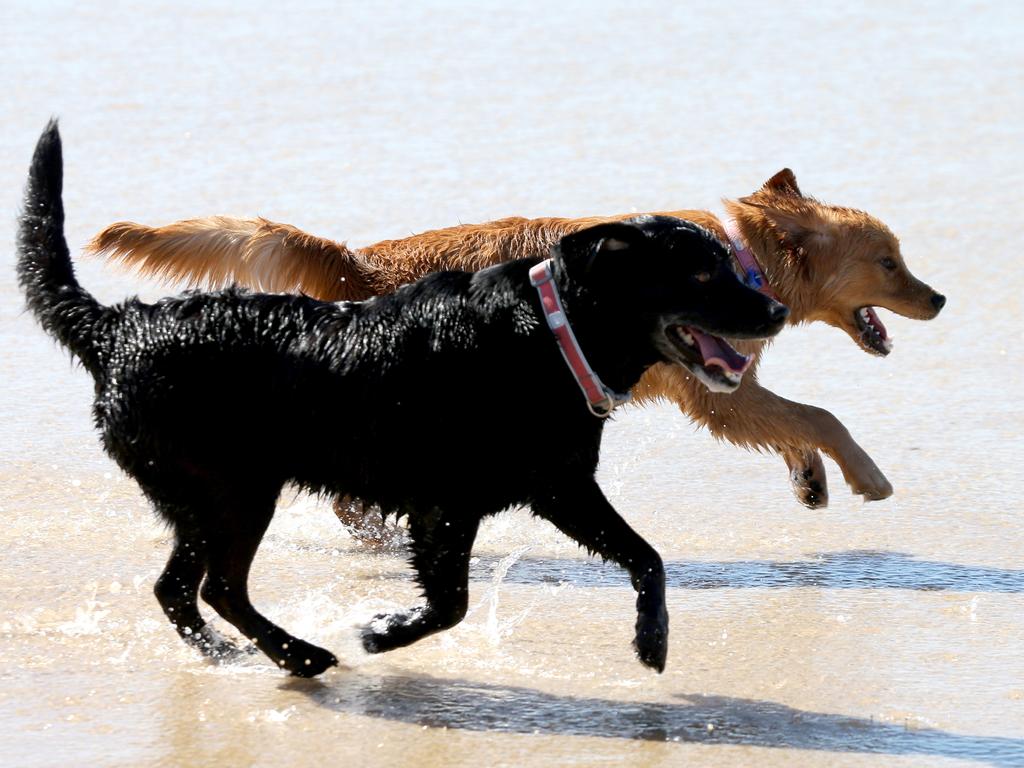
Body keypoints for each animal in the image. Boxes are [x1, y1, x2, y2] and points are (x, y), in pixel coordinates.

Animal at [16, 124, 786, 679]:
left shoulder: (558, 486)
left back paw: (240, 656)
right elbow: (450, 603)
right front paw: (384, 633)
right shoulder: (446, 504)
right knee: (217, 587)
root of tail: (115, 327)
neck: (548, 333)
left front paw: (652, 639)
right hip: (233, 489)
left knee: (180, 589)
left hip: (205, 496)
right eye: (700, 274)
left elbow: (646, 556)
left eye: (727, 266)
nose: (777, 310)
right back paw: (301, 654)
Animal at [86, 169, 942, 518]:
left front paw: (813, 479)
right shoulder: (717, 397)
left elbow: (796, 423)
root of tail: (353, 260)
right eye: (889, 262)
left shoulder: (730, 386)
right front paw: (866, 476)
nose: (938, 297)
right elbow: (821, 416)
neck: (738, 257)